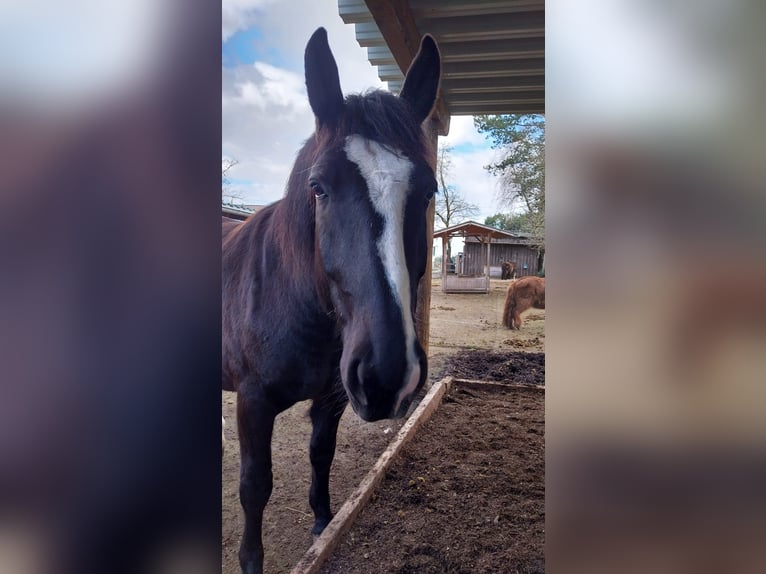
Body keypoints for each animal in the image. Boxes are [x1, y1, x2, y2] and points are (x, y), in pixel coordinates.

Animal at [222, 28, 440, 574]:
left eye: (428, 190)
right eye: (318, 187)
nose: (387, 374)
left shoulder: (332, 397)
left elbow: (322, 453)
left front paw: (323, 523)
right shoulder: (252, 402)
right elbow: (254, 487)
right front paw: (251, 561)